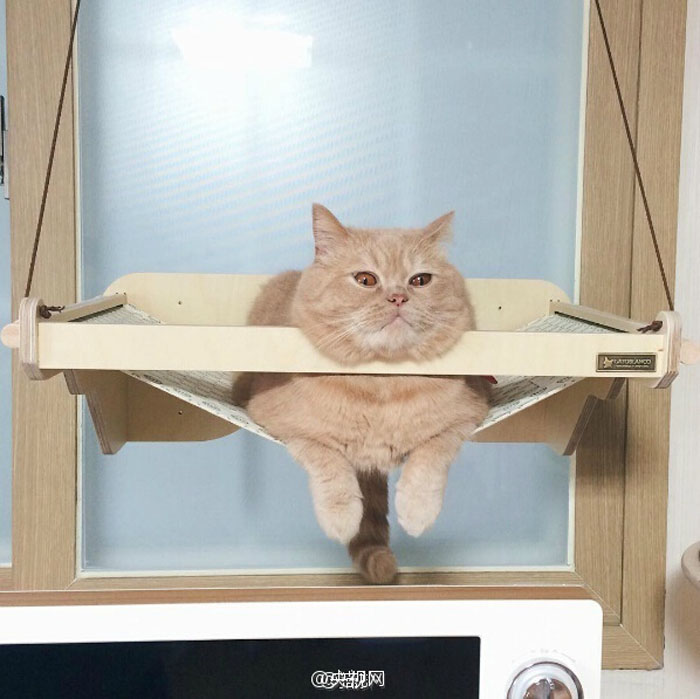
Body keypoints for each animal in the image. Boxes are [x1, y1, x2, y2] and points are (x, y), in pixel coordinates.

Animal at [235, 204, 490, 584]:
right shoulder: (279, 420)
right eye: (366, 280)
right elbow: (328, 459)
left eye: (420, 280)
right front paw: (340, 515)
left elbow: (431, 454)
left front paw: (417, 508)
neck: (382, 380)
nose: (398, 297)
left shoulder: (468, 415)